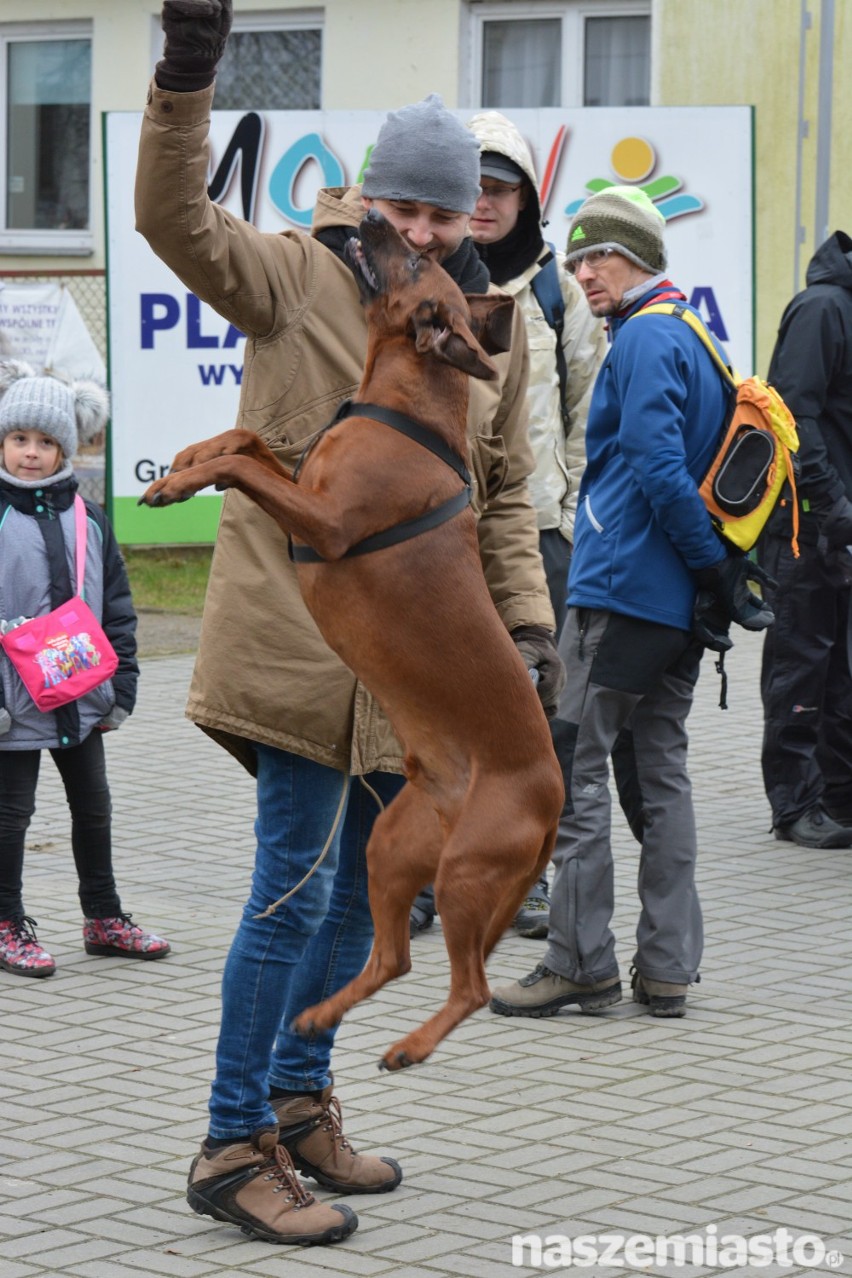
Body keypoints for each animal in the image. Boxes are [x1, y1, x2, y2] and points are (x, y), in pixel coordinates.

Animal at [141, 209, 567, 1068]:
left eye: (412, 263)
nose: (369, 216)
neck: (405, 409)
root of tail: (554, 797)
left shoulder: (327, 523)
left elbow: (248, 464)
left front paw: (180, 481)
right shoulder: (306, 486)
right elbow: (245, 441)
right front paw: (184, 463)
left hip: (468, 868)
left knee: (469, 985)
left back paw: (411, 1044)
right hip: (394, 847)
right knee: (392, 956)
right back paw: (316, 1015)